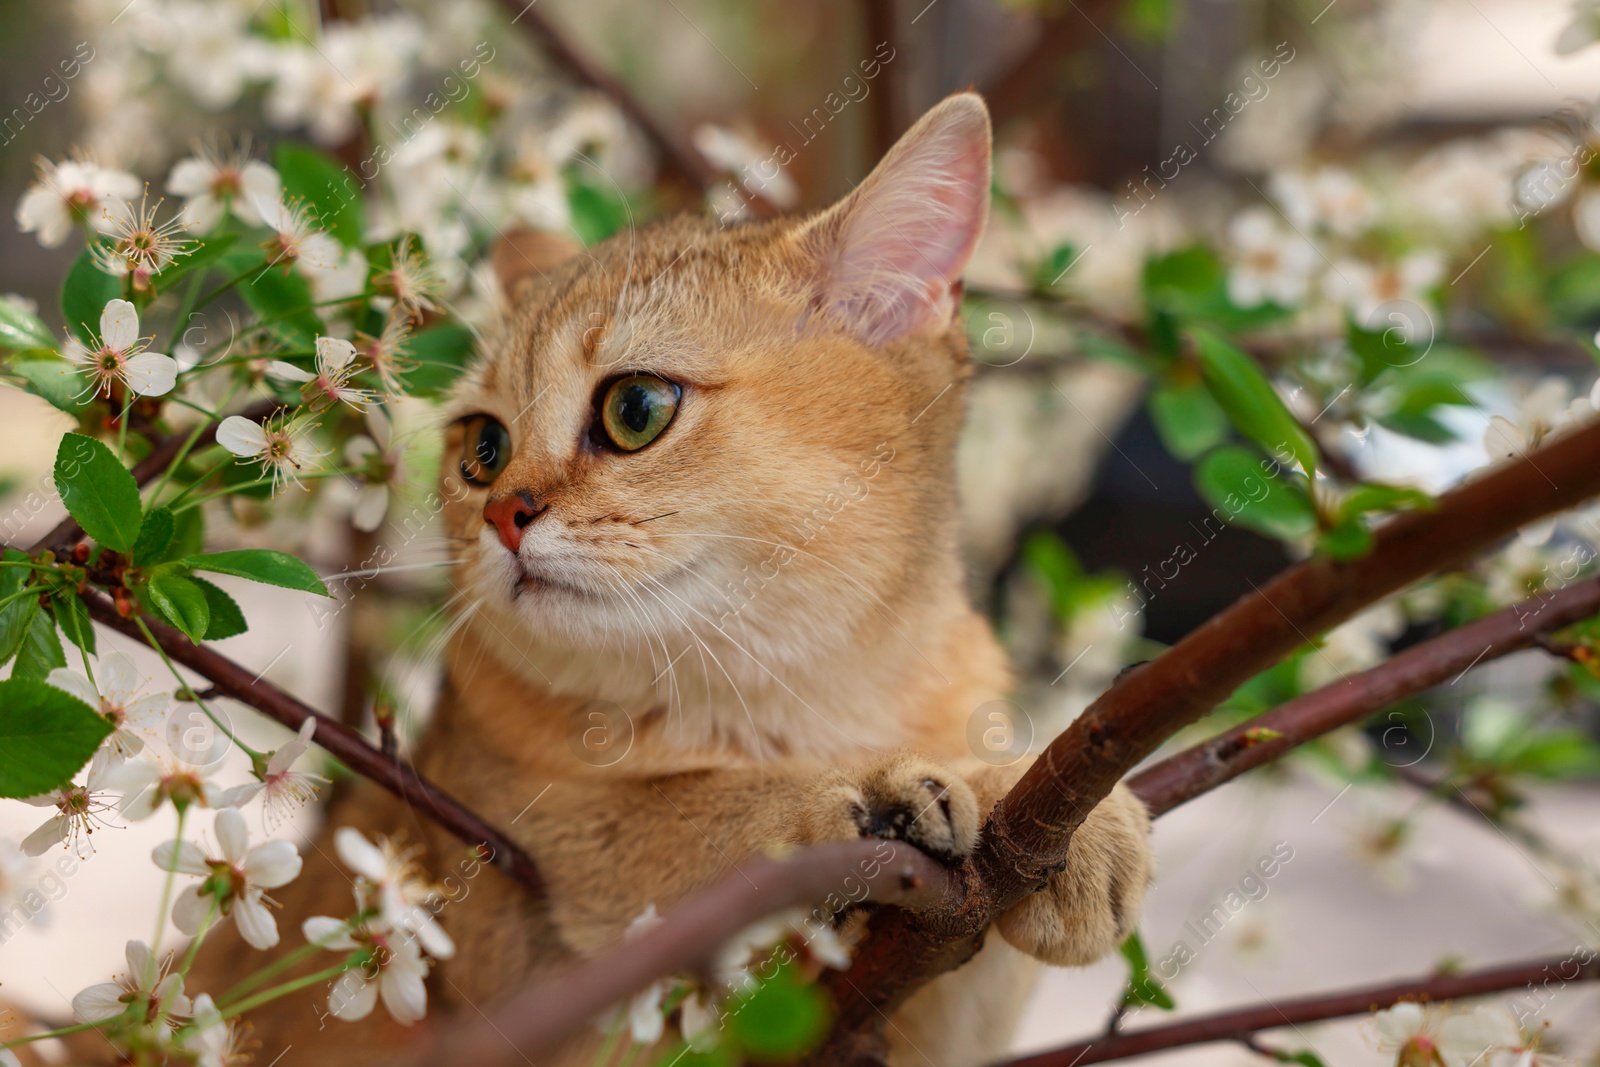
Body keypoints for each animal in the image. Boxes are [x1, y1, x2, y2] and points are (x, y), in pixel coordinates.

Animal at [190, 91, 1152, 1067]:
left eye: (636, 409)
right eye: (483, 446)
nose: (503, 511)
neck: (811, 695)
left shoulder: (928, 1023)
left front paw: (1053, 811)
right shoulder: (512, 933)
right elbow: (682, 809)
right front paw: (874, 793)